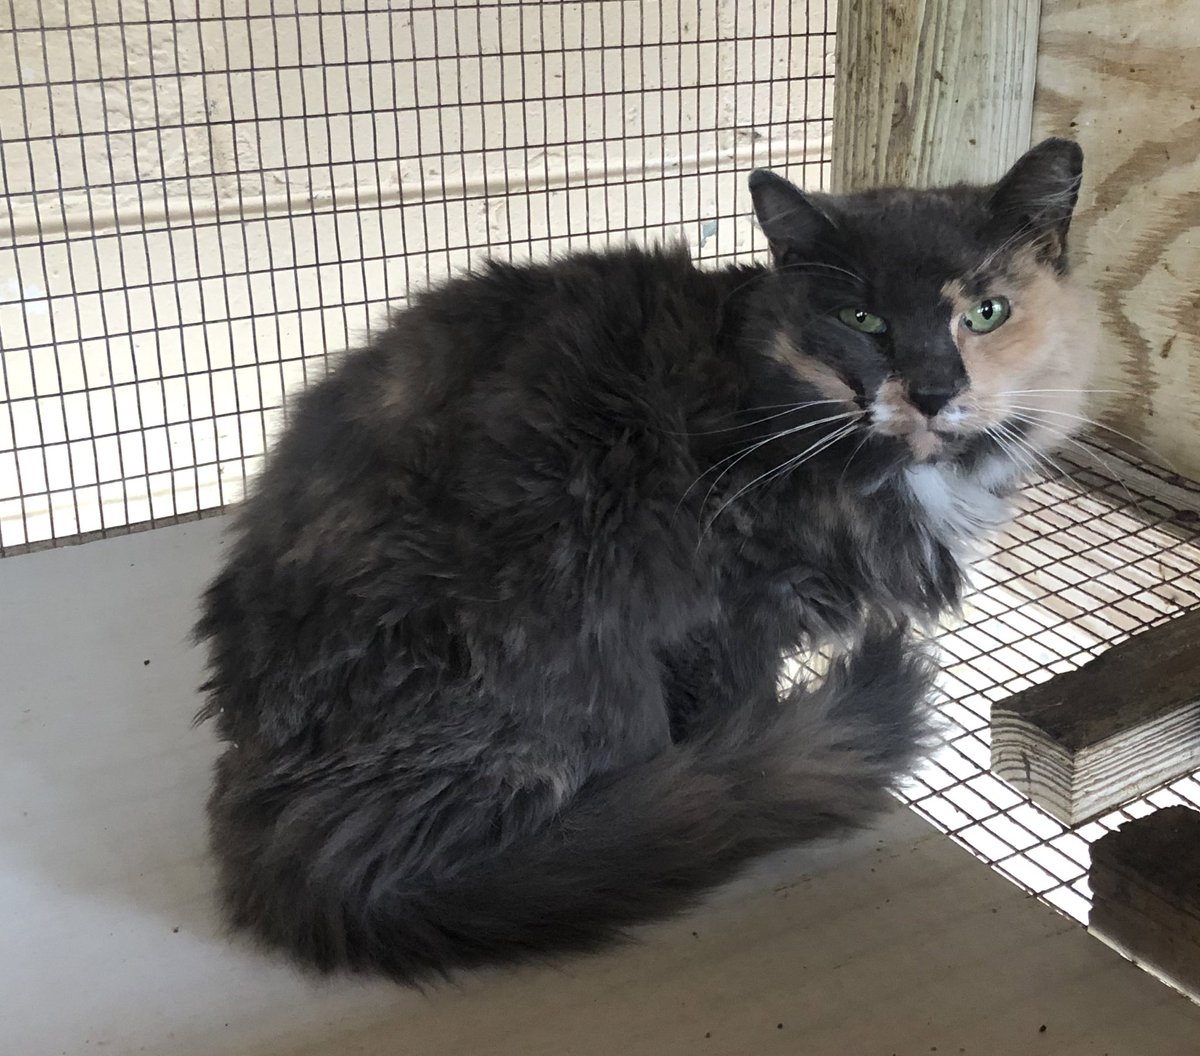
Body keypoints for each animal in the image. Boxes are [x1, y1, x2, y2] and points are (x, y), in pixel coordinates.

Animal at [194, 138, 1099, 984]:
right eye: (863, 320)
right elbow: (735, 702)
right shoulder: (732, 610)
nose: (934, 390)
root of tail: (262, 803)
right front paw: (741, 748)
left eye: (986, 312)